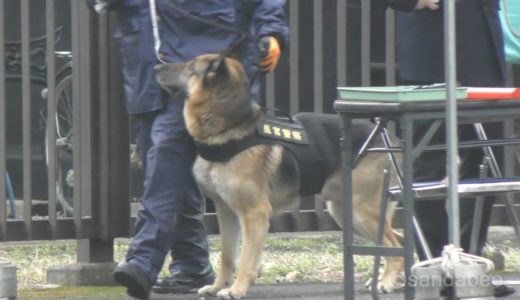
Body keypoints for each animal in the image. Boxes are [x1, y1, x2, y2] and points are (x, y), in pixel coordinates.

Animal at [152, 54, 404, 300]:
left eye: (190, 67)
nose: (155, 67)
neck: (229, 129)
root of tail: (389, 137)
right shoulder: (226, 214)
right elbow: (227, 256)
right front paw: (217, 287)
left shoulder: (254, 215)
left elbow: (245, 259)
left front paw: (237, 289)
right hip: (346, 214)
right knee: (397, 241)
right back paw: (387, 278)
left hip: (362, 214)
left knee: (395, 247)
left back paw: (386, 282)